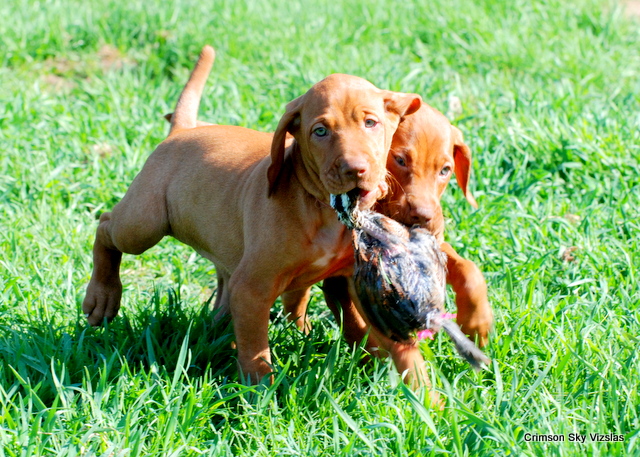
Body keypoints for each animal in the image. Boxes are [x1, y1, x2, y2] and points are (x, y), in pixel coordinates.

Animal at [85, 45, 424, 382]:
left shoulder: (355, 279)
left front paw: (419, 385)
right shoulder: (251, 289)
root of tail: (182, 131)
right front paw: (260, 392)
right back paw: (102, 296)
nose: (355, 169)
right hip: (144, 223)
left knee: (226, 289)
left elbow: (382, 335)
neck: (320, 209)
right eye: (320, 131)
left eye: (371, 123)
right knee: (106, 226)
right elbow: (256, 354)